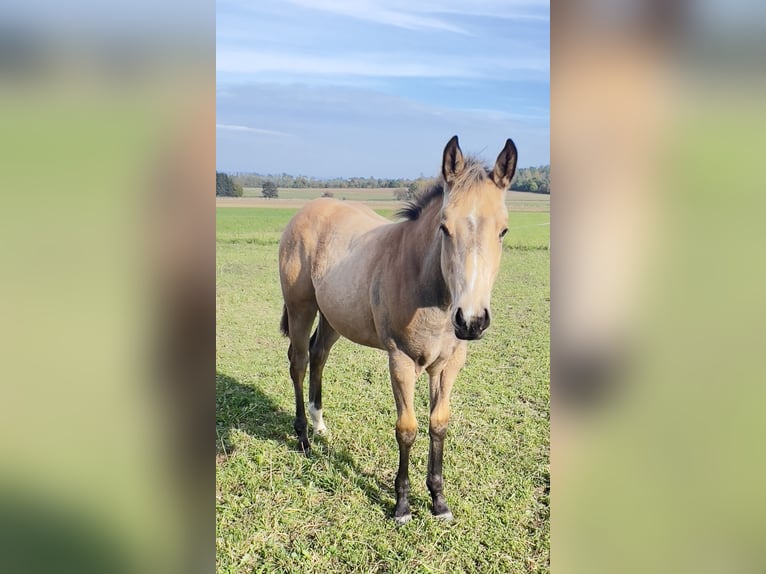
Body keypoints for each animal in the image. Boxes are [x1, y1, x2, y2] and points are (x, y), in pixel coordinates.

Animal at [280, 136, 520, 528]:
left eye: (503, 230)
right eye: (444, 227)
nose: (470, 320)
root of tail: (308, 209)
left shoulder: (449, 364)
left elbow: (439, 424)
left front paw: (439, 500)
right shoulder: (401, 361)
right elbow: (407, 428)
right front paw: (402, 505)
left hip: (334, 316)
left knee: (319, 354)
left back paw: (318, 423)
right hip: (301, 308)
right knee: (298, 361)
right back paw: (302, 437)